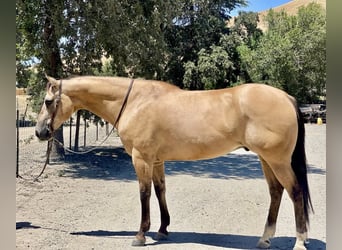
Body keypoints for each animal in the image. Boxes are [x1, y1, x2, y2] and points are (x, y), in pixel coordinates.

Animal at [34, 75, 312, 250]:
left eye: (48, 101)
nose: (39, 132)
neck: (134, 102)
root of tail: (286, 97)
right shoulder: (157, 160)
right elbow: (160, 191)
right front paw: (163, 229)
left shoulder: (141, 158)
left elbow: (144, 193)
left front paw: (141, 235)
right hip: (267, 159)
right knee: (276, 192)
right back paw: (265, 239)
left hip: (277, 160)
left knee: (295, 191)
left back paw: (299, 241)